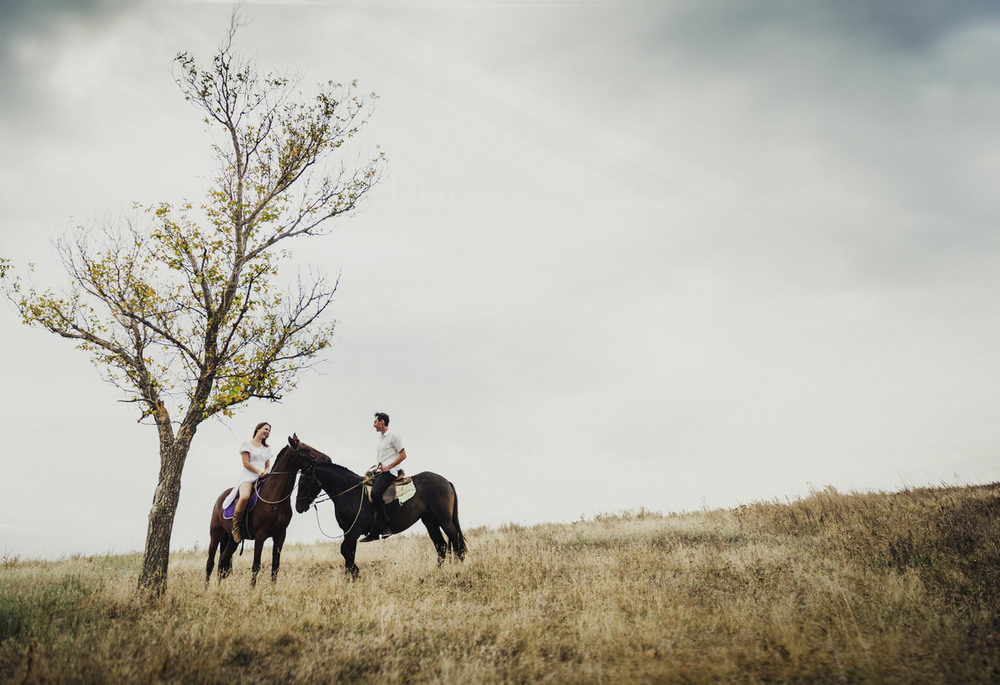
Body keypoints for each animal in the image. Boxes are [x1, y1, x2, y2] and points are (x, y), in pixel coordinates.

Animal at [207, 436, 332, 584]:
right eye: (306, 449)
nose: (328, 460)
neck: (275, 497)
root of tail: (220, 499)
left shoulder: (280, 535)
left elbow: (275, 566)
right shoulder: (260, 535)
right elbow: (256, 565)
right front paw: (252, 588)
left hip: (232, 541)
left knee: (222, 564)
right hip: (216, 535)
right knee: (210, 564)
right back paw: (206, 588)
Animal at [294, 460, 466, 576]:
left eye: (303, 482)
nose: (298, 507)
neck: (350, 492)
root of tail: (446, 481)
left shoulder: (355, 530)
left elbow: (344, 549)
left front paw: (355, 573)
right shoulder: (348, 531)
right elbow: (349, 552)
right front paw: (350, 577)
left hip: (444, 520)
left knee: (457, 542)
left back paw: (461, 569)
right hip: (430, 522)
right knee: (441, 546)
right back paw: (437, 571)